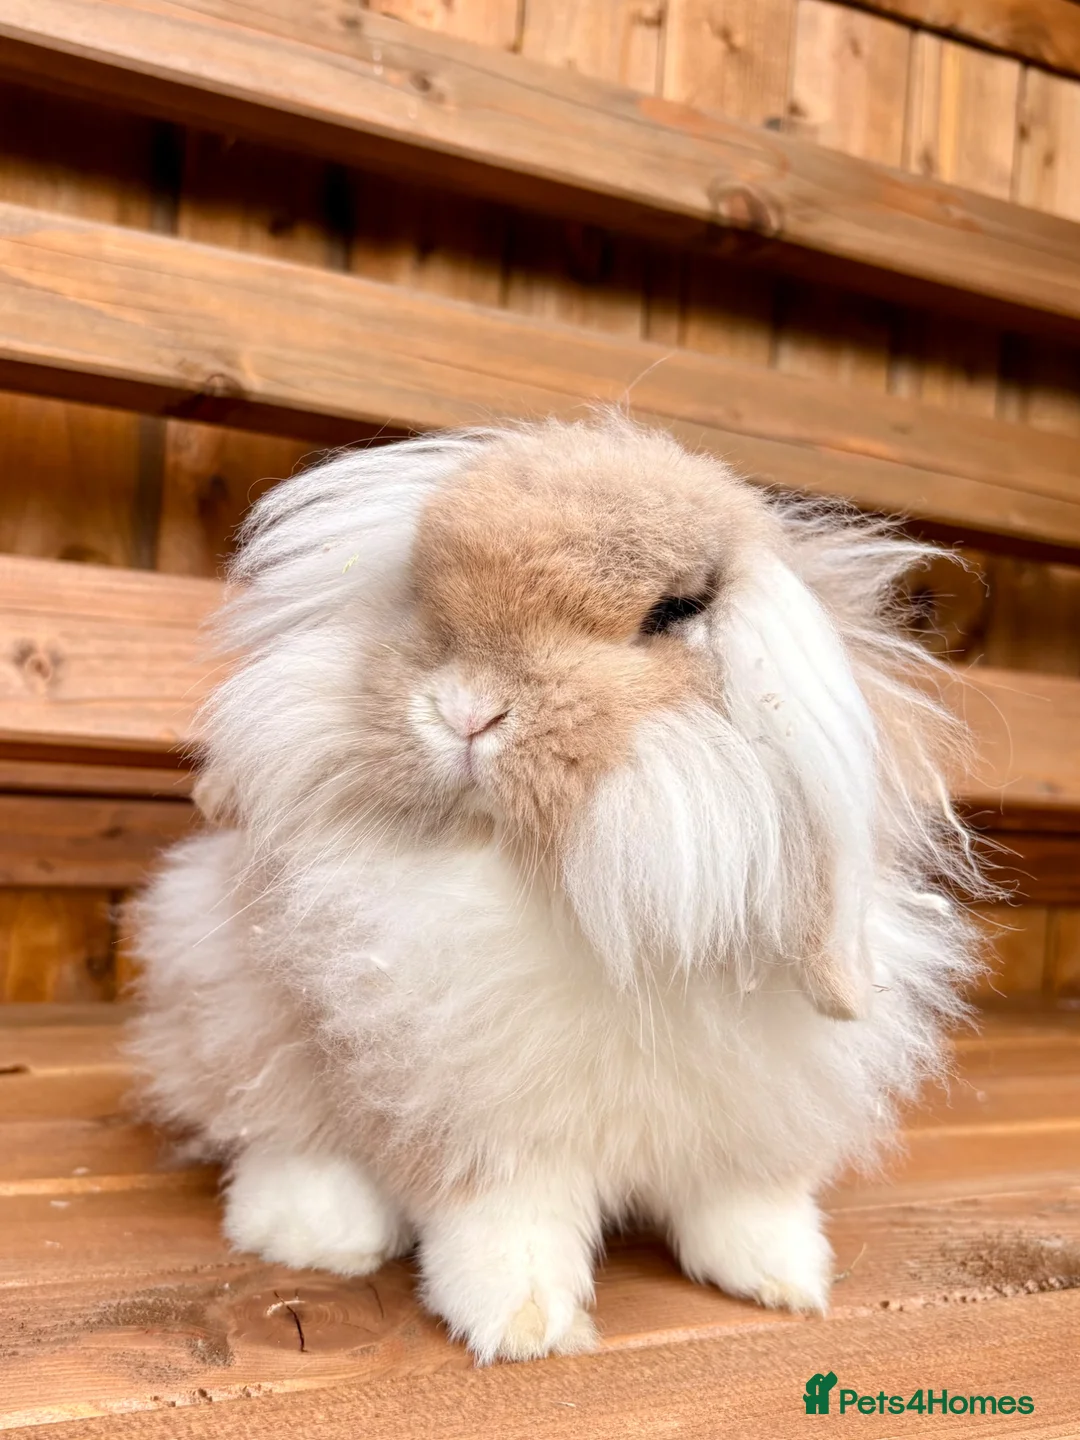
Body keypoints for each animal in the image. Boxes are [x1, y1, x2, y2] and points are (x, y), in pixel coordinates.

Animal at [129, 412, 985, 1364]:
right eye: (421, 595)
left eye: (672, 614)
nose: (468, 710)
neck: (551, 884)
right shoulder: (483, 1126)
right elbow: (511, 1228)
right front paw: (521, 1325)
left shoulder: (752, 1118)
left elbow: (747, 1202)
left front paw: (786, 1280)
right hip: (238, 1009)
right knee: (276, 1127)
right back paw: (315, 1234)